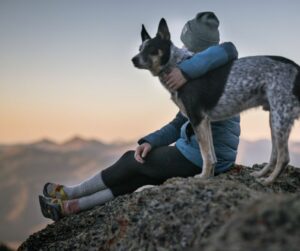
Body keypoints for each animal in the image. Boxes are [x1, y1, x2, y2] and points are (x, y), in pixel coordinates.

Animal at [131, 18, 300, 184]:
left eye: (152, 48)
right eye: (140, 48)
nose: (133, 59)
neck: (176, 64)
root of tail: (297, 68)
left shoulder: (197, 118)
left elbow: (205, 154)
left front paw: (203, 177)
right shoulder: (206, 121)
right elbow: (211, 155)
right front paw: (209, 176)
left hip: (279, 118)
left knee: (284, 158)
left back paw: (268, 181)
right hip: (274, 119)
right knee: (274, 155)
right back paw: (260, 174)